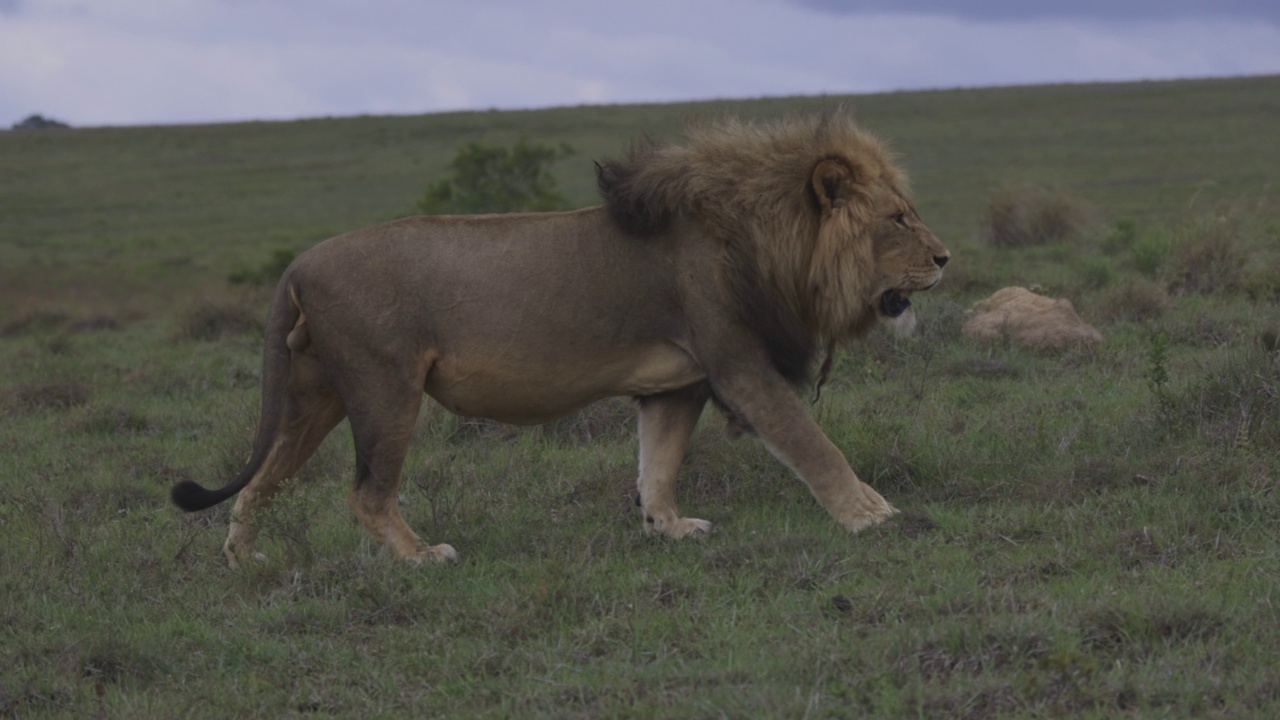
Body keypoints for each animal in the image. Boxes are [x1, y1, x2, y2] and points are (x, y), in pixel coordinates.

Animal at [170, 112, 952, 563]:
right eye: (899, 219)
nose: (946, 258)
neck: (767, 239)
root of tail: (298, 263)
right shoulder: (739, 365)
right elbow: (812, 445)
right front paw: (871, 516)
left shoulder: (677, 384)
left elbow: (657, 466)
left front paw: (668, 529)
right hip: (385, 386)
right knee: (366, 492)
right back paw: (423, 558)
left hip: (318, 392)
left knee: (260, 482)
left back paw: (244, 563)